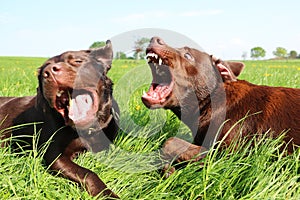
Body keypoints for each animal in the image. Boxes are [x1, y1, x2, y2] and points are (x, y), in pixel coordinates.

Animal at [0, 41, 119, 198]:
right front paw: (107, 194)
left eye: (78, 61)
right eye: (43, 71)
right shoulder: (56, 156)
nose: (49, 71)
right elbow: (88, 173)